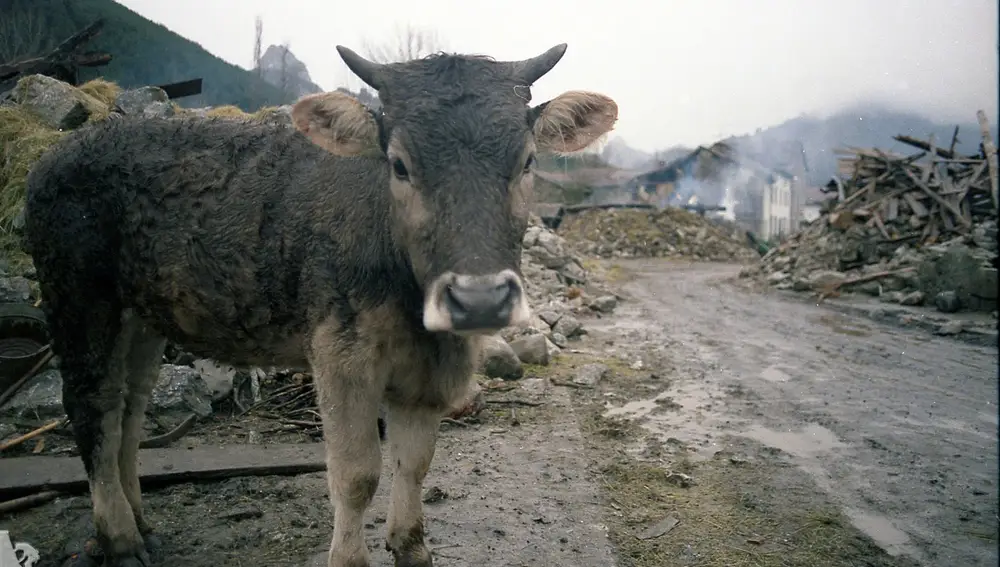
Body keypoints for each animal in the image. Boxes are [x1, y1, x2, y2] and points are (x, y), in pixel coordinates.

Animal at [22, 43, 618, 567]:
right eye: (399, 165)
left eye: (528, 161)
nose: (478, 300)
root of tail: (56, 154)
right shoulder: (340, 352)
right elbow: (357, 474)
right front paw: (350, 556)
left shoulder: (430, 368)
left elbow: (415, 463)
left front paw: (411, 547)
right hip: (77, 295)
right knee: (93, 405)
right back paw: (119, 537)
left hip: (142, 313)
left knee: (131, 406)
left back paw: (141, 522)